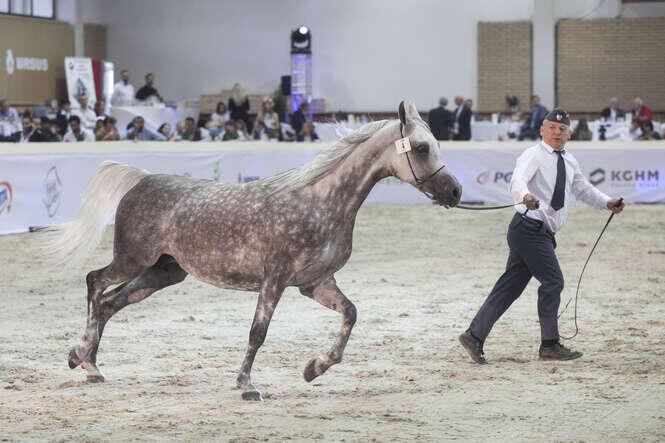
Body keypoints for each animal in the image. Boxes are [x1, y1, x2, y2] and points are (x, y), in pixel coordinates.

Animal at [47, 101, 462, 401]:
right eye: (421, 147)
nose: (455, 192)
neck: (320, 202)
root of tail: (142, 179)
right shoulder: (274, 280)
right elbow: (257, 333)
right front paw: (246, 385)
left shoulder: (315, 284)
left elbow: (350, 315)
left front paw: (314, 368)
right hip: (133, 260)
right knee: (95, 282)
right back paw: (82, 354)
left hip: (162, 273)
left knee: (109, 303)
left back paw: (89, 364)